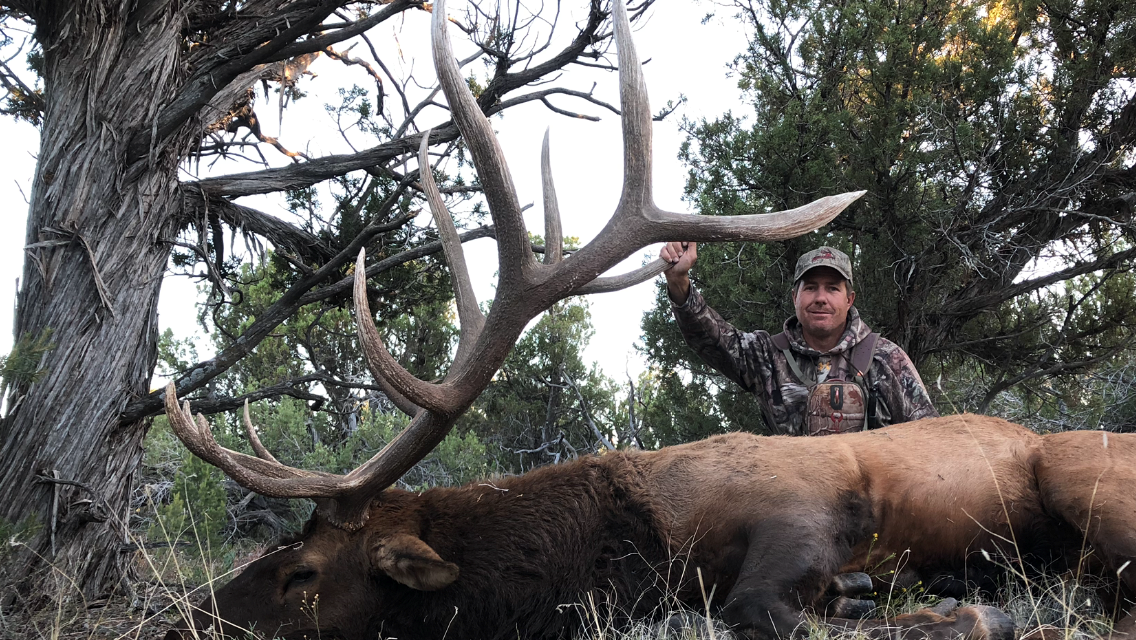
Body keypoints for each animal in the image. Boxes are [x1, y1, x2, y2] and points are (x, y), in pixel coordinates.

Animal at [159, 0, 1136, 638]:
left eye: (303, 573)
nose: (185, 620)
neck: (620, 549)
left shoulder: (800, 516)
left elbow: (764, 608)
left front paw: (952, 611)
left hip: (1084, 478)